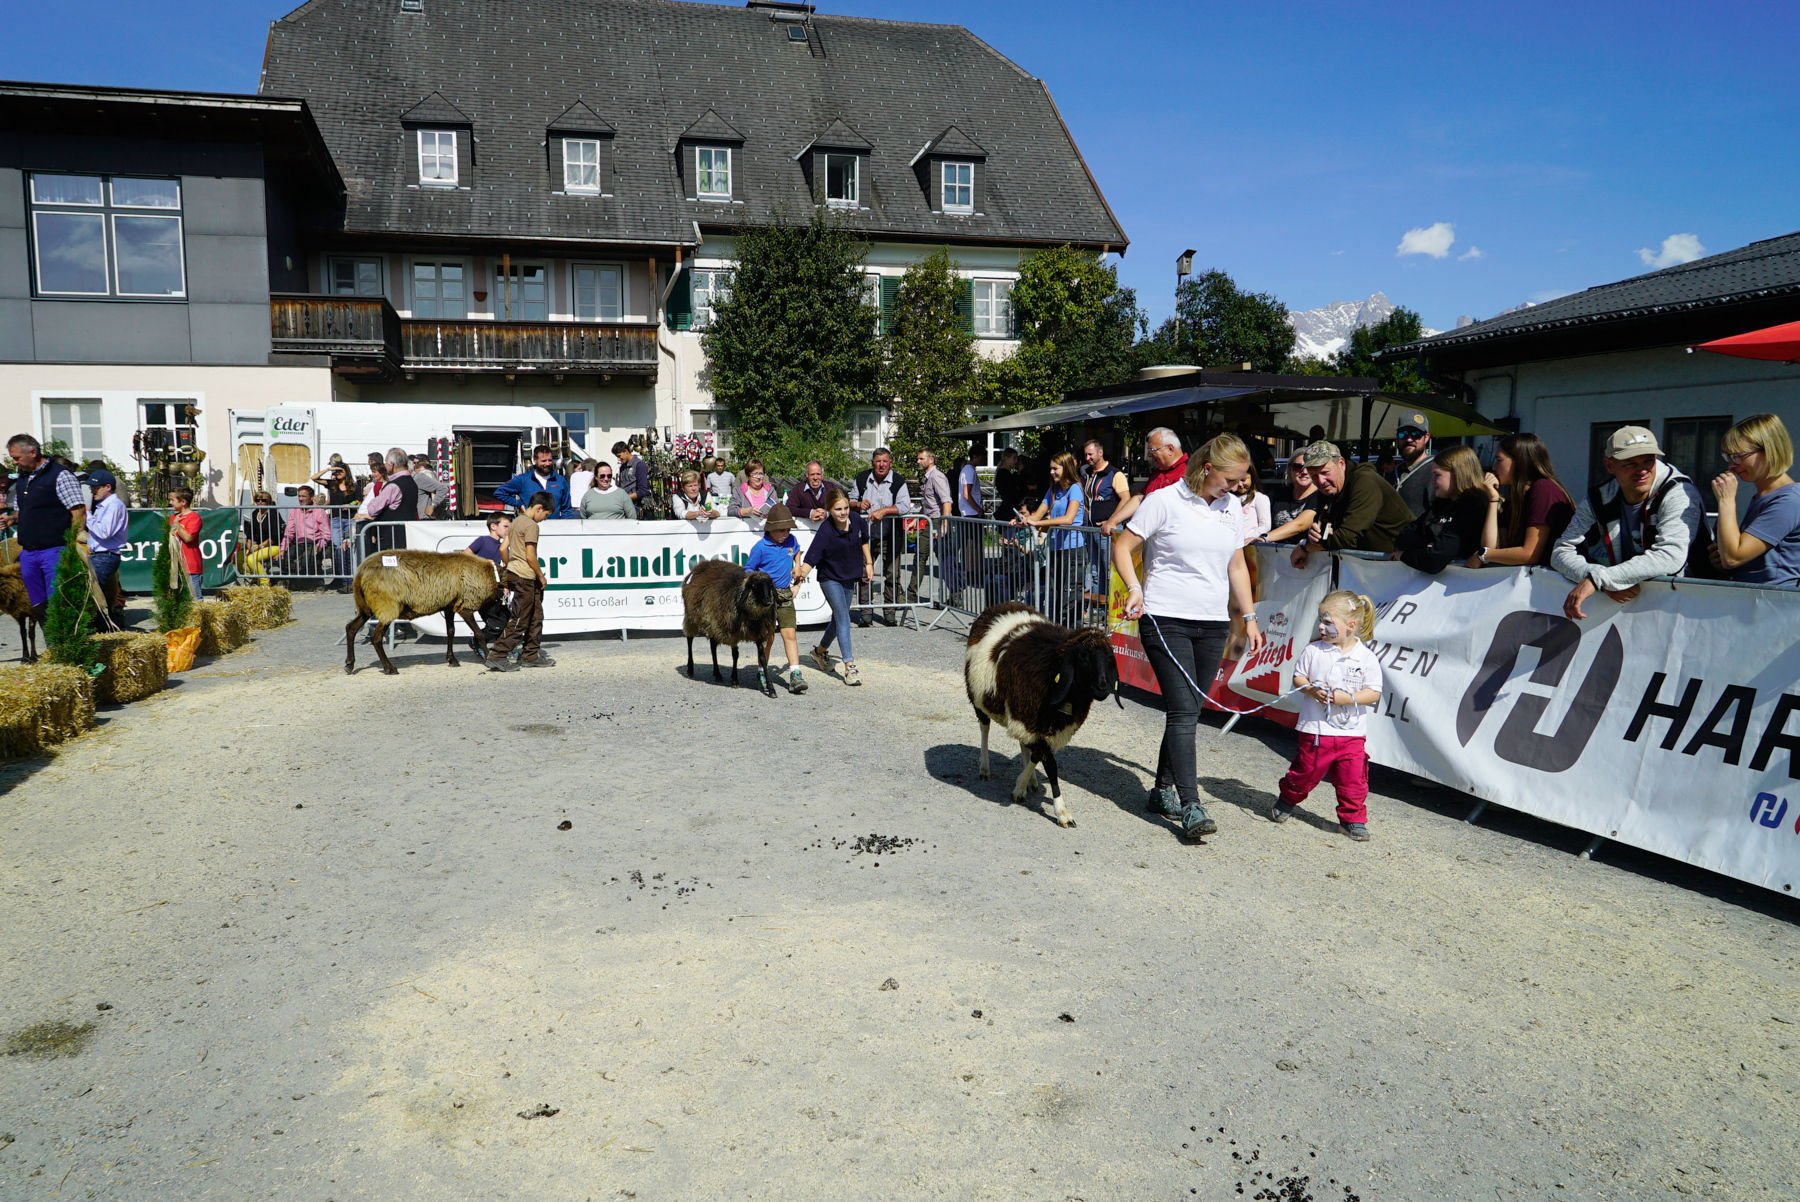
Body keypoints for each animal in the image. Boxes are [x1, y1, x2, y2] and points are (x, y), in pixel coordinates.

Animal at [342, 547, 500, 676]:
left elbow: (450, 631)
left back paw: (349, 665)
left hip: (366, 607)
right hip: (386, 605)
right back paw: (389, 668)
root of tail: (360, 573)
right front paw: (490, 659)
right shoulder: (466, 605)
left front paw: (452, 660)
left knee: (351, 628)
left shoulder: (449, 605)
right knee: (376, 638)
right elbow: (479, 633)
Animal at [680, 557, 781, 698]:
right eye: (755, 586)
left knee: (712, 646)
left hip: (713, 621)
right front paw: (734, 680)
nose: (768, 601)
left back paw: (717, 673)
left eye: (770, 586)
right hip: (692, 616)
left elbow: (763, 658)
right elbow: (735, 655)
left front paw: (771, 689)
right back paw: (690, 669)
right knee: (689, 639)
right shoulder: (732, 632)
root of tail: (698, 567)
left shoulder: (758, 633)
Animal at [964, 601, 1116, 827]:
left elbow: (1038, 755)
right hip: (979, 698)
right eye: (1084, 658)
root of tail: (1003, 604)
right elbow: (1051, 765)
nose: (1103, 687)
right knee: (985, 729)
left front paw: (1022, 785)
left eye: (1109, 659)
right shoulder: (1031, 721)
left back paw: (1031, 780)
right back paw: (984, 767)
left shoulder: (1043, 726)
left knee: (1023, 744)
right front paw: (1061, 812)